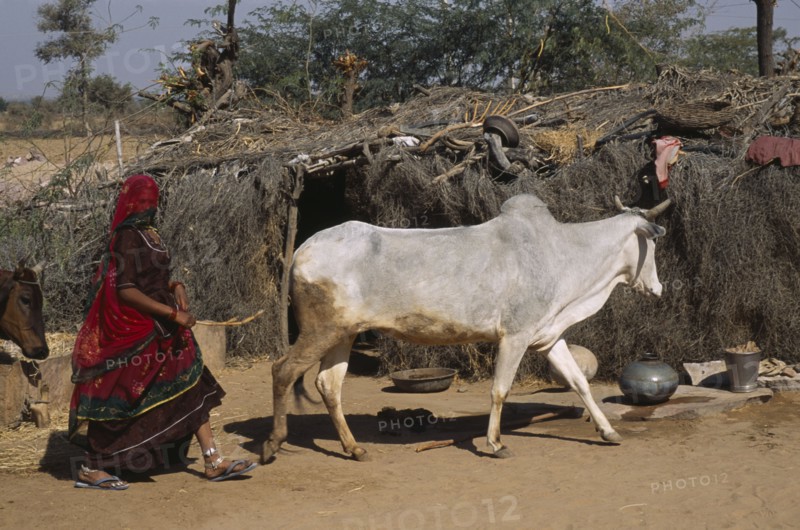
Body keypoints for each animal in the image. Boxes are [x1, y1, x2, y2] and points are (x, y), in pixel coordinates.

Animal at [263, 194, 669, 463]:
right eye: (652, 242)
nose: (658, 287)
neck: (563, 254)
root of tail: (301, 250)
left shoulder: (548, 336)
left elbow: (580, 383)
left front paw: (609, 432)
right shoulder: (515, 335)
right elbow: (500, 390)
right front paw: (495, 443)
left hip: (343, 334)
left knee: (328, 385)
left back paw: (354, 448)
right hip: (321, 330)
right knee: (283, 370)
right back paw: (273, 444)